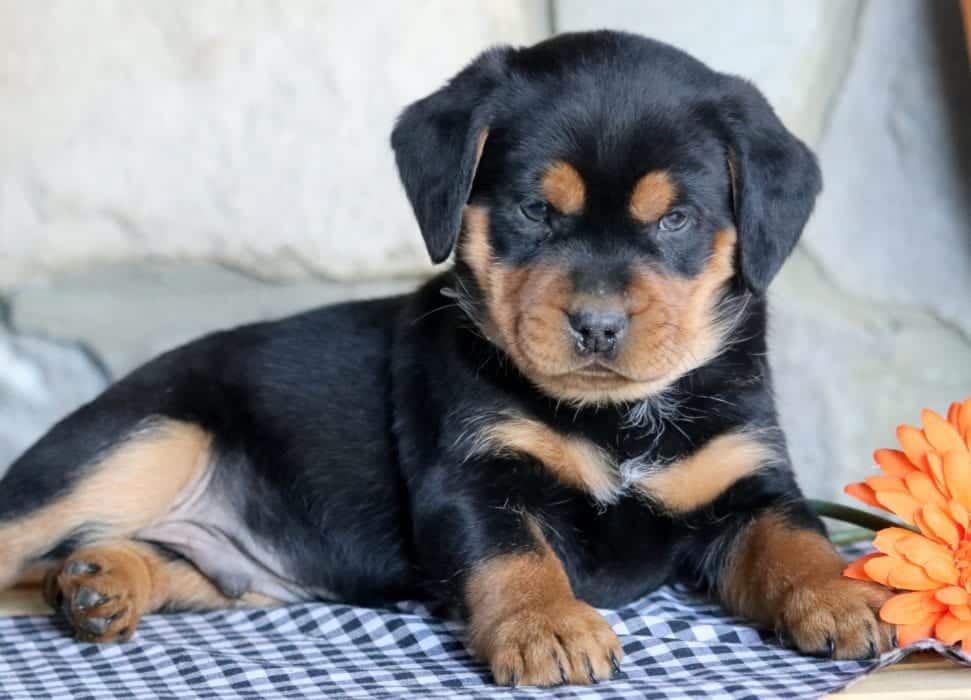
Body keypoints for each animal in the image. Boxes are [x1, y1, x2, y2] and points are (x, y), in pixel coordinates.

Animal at [1, 31, 896, 684]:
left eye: (674, 220)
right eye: (534, 211)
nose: (598, 325)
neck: (612, 419)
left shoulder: (746, 479)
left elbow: (795, 539)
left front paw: (845, 600)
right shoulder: (469, 478)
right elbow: (514, 554)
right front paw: (548, 629)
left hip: (231, 565)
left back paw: (100, 583)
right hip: (154, 436)